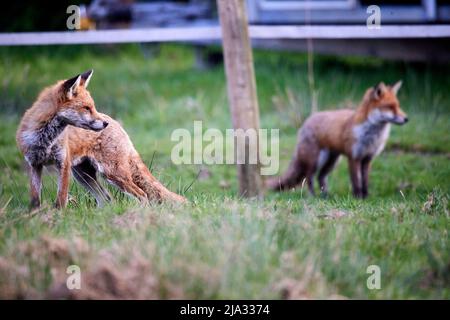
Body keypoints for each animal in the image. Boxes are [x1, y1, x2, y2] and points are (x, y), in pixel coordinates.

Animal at [17, 70, 186, 209]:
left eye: (93, 107)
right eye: (86, 108)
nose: (105, 124)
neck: (44, 140)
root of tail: (116, 122)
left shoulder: (63, 164)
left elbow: (61, 200)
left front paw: (58, 218)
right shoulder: (34, 165)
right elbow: (35, 200)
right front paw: (35, 218)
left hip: (111, 173)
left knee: (141, 195)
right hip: (83, 175)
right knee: (106, 199)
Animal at [268, 82, 408, 198]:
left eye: (398, 106)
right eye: (390, 106)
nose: (406, 119)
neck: (371, 134)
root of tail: (305, 122)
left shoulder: (367, 158)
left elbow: (365, 181)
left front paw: (366, 197)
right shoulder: (354, 157)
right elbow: (356, 181)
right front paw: (358, 197)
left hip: (332, 162)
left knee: (321, 177)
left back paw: (326, 196)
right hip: (316, 160)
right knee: (309, 177)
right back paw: (312, 196)